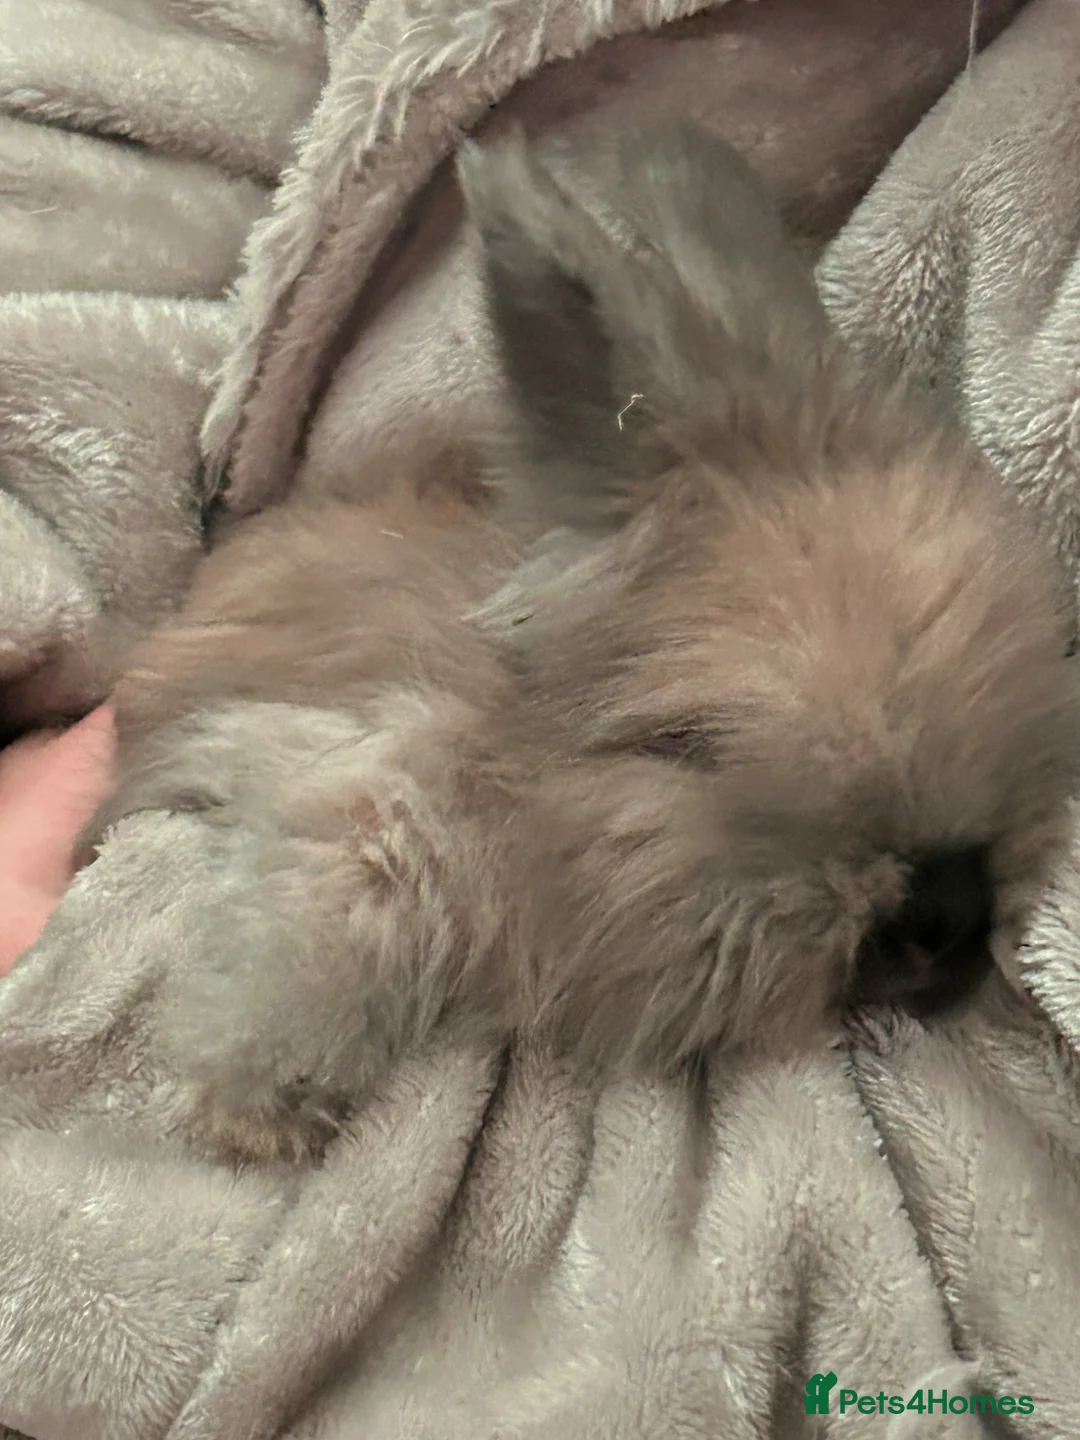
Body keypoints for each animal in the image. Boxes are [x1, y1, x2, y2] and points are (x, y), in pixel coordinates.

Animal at [82, 121, 1080, 1164]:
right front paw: (252, 1106)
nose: (949, 910)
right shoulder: (351, 770)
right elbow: (354, 892)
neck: (521, 767)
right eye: (691, 742)